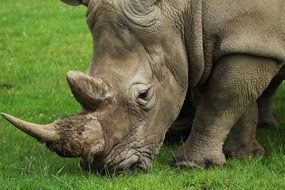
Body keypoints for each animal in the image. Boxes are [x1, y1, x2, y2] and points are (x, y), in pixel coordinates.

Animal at [1, 0, 284, 171]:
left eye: (144, 94)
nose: (105, 168)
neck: (185, 9)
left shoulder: (249, 37)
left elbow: (221, 100)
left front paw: (192, 165)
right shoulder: (240, 40)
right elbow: (240, 98)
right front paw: (246, 156)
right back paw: (267, 126)